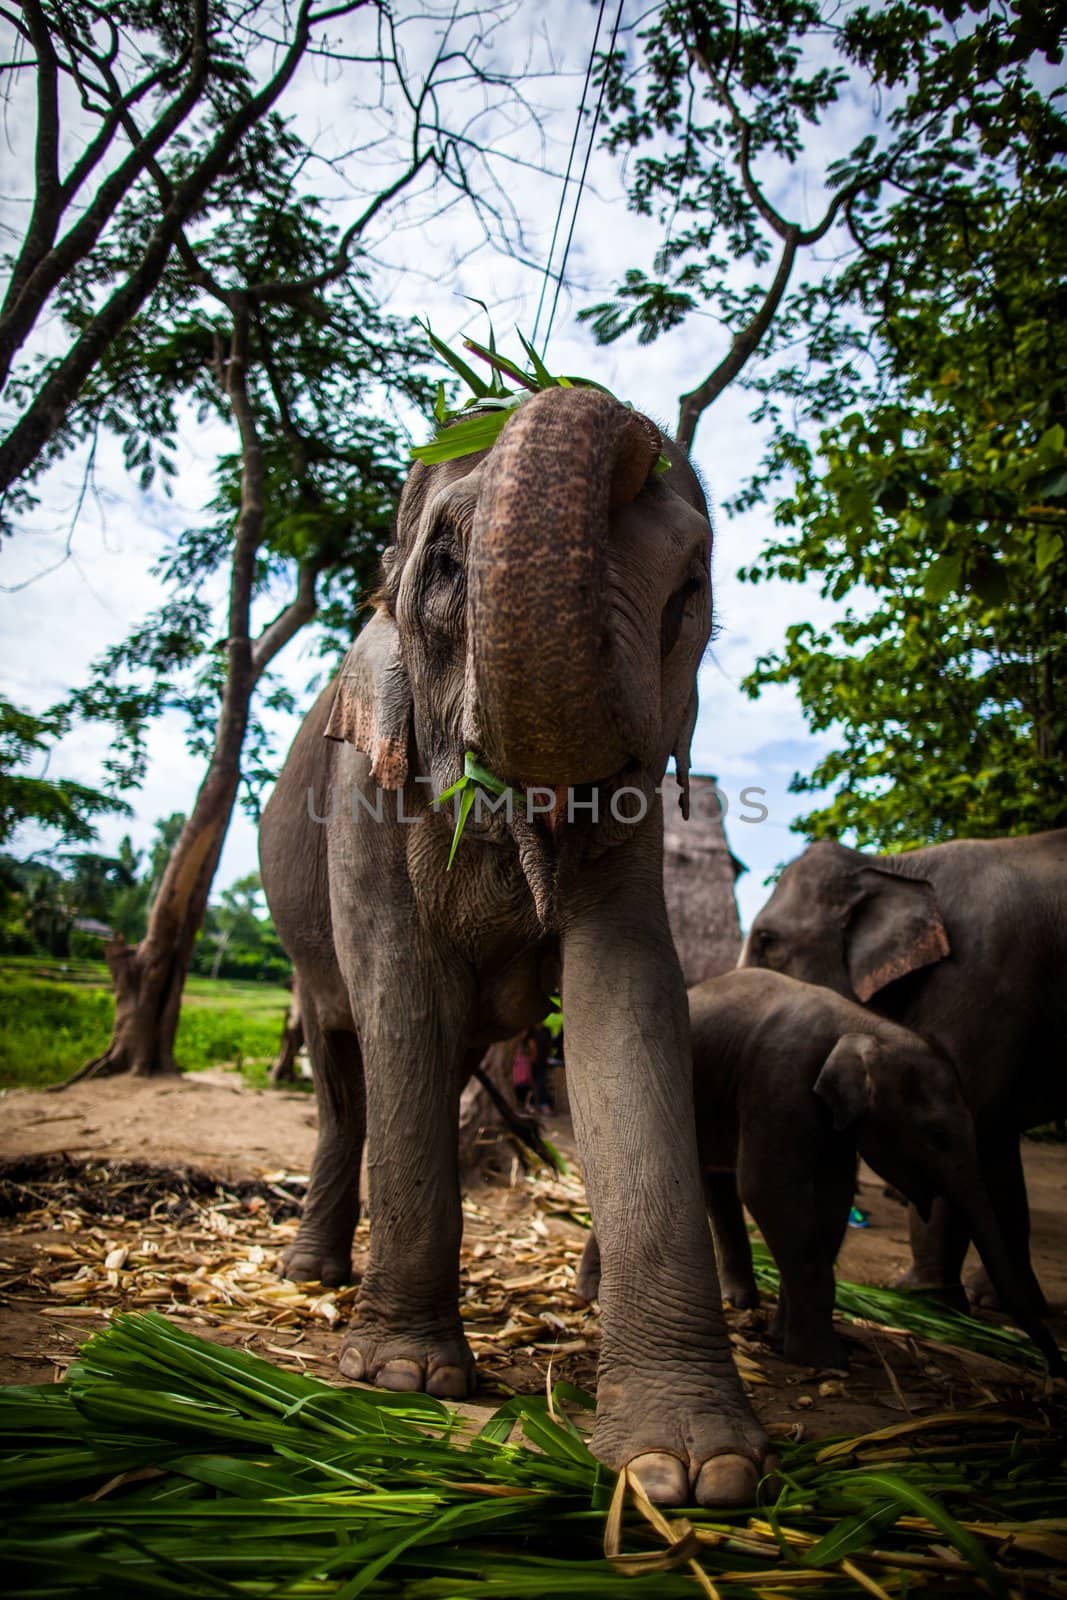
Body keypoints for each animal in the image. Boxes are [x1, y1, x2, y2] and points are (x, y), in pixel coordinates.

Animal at [262, 387, 771, 1510]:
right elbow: (402, 996)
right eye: (446, 564)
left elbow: (624, 999)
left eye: (691, 586)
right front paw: (402, 1378)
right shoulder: (361, 797)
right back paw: (311, 1276)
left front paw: (690, 1471)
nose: (630, 420)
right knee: (345, 1070)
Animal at [579, 960, 1062, 1376]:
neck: (864, 1024)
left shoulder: (832, 1121)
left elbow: (832, 1198)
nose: (1054, 1367)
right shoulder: (781, 1077)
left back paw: (737, 1302)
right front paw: (826, 1361)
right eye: (936, 1135)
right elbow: (769, 1189)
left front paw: (784, 1339)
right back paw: (593, 1296)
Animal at [742, 832, 1067, 1305]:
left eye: (768, 940)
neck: (898, 865)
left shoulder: (984, 979)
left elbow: (969, 1127)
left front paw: (922, 1297)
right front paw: (991, 1302)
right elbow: (990, 1143)